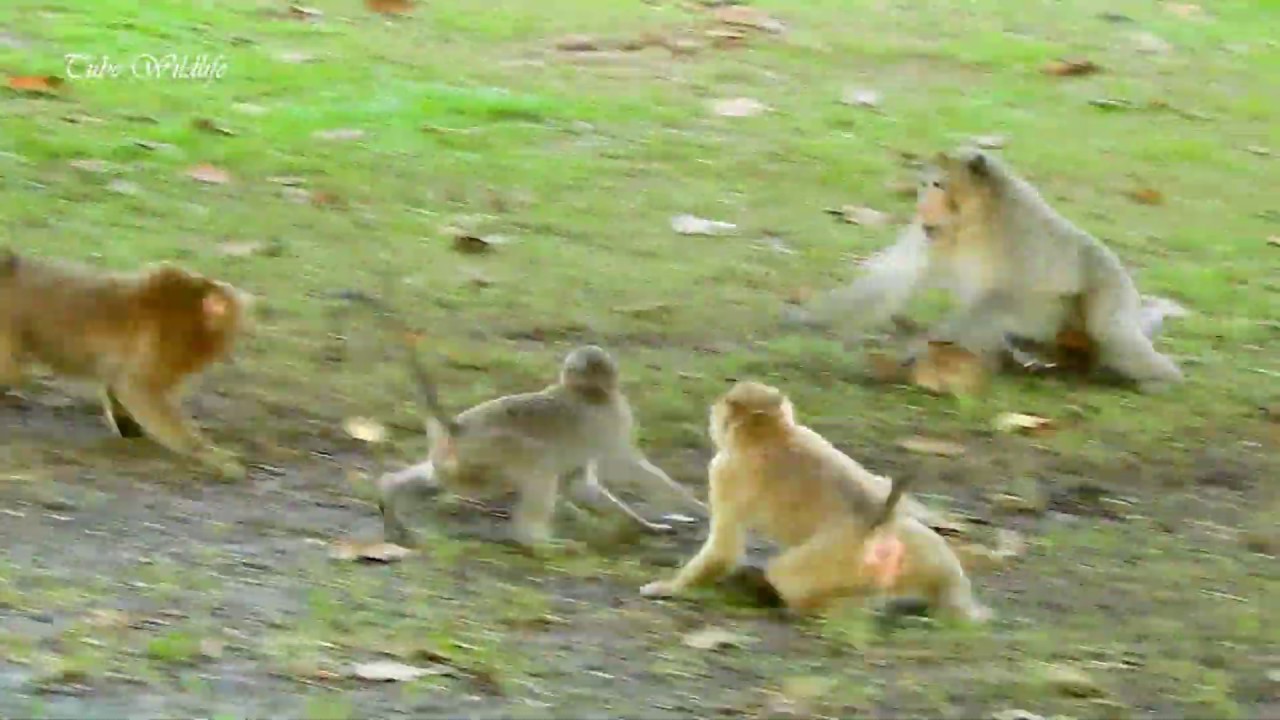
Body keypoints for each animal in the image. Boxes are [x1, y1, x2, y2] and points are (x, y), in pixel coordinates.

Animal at [0, 249, 251, 477]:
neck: (194, 315)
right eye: (234, 323)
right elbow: (137, 389)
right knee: (11, 369)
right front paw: (209, 454)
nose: (233, 344)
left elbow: (118, 386)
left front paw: (129, 428)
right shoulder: (166, 342)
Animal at [336, 292, 707, 550]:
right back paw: (537, 541)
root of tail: (458, 428)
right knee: (539, 464)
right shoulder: (614, 418)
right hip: (489, 454)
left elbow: (580, 484)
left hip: (456, 462)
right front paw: (695, 505)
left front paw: (645, 526)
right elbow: (625, 465)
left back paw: (389, 498)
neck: (584, 390)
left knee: (437, 478)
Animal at [640, 381, 990, 623]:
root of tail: (882, 529)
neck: (772, 433)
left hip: (837, 560)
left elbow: (723, 550)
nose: (714, 416)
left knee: (787, 574)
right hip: (917, 553)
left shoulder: (725, 472)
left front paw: (670, 587)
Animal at [793, 146, 1185, 393]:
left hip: (1109, 292)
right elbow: (893, 279)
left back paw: (1162, 378)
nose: (923, 206)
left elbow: (1011, 296)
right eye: (925, 184)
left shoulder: (1018, 229)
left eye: (939, 184)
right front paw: (809, 319)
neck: (973, 221)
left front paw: (913, 351)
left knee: (1112, 335)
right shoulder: (932, 235)